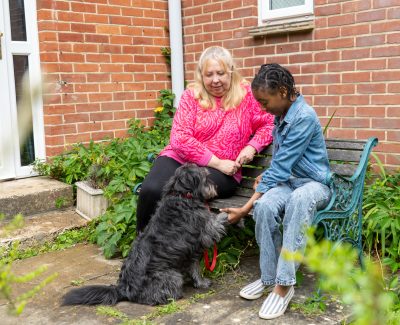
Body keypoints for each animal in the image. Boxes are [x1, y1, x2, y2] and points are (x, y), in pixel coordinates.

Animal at [64, 163, 230, 306]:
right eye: (205, 177)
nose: (215, 187)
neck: (182, 196)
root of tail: (123, 288)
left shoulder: (192, 251)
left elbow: (195, 269)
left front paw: (200, 282)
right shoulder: (206, 232)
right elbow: (214, 225)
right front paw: (225, 215)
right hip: (172, 276)